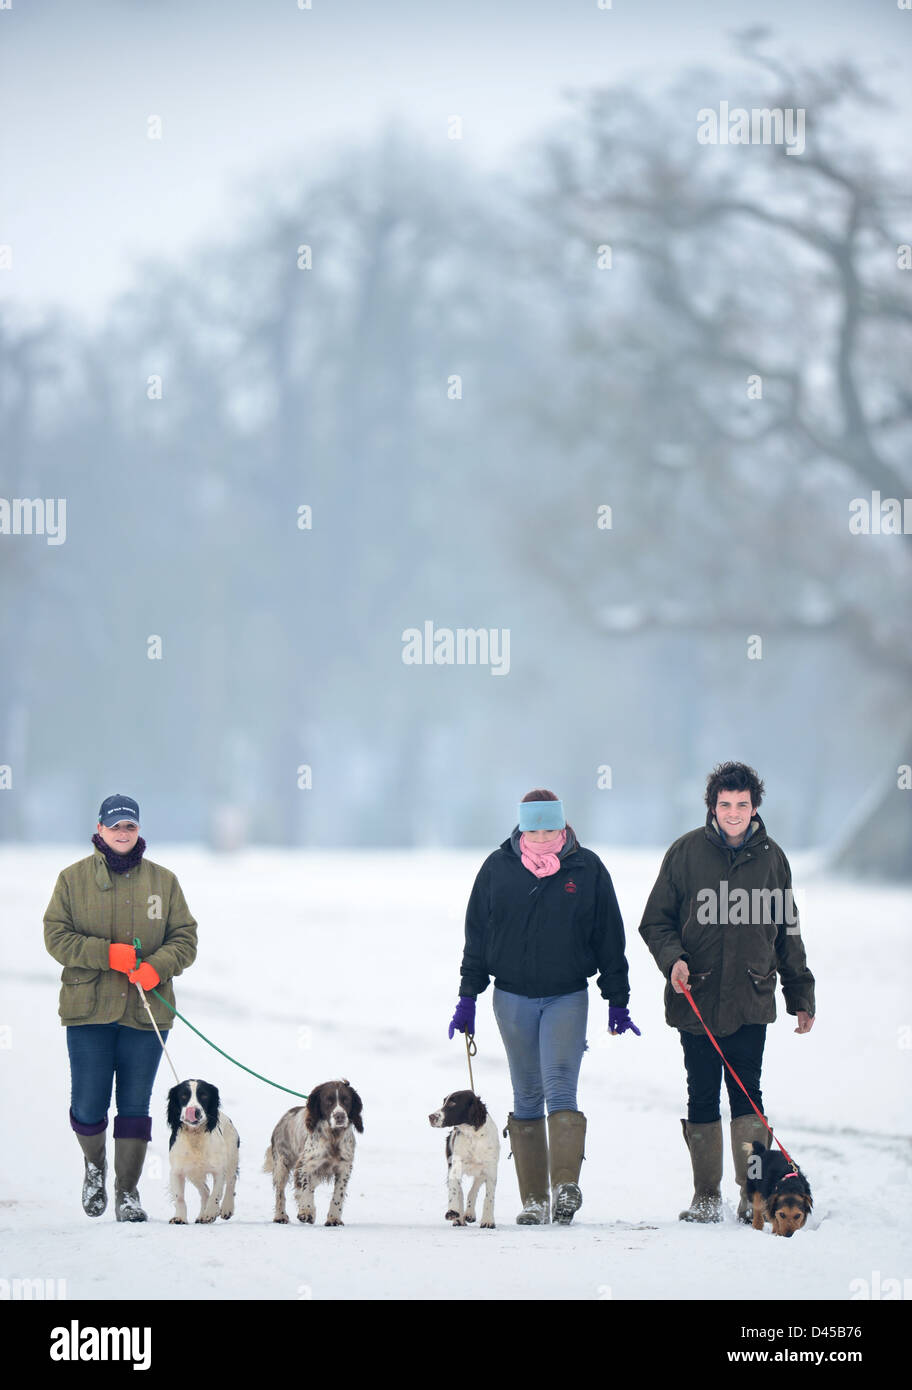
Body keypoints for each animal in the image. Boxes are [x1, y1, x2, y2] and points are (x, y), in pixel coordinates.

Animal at [166, 1078, 240, 1223]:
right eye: (183, 1096)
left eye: (204, 1095)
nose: (194, 1111)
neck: (195, 1136)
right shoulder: (177, 1170)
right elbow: (179, 1197)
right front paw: (180, 1217)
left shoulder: (219, 1170)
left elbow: (216, 1193)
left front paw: (210, 1213)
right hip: (194, 1173)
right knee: (205, 1190)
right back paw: (201, 1215)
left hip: (232, 1157)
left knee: (231, 1181)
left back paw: (226, 1208)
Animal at [264, 1078, 364, 1223]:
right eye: (328, 1101)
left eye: (346, 1100)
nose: (340, 1116)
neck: (333, 1136)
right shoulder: (305, 1165)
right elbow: (305, 1189)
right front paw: (306, 1211)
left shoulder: (344, 1168)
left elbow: (338, 1195)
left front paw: (333, 1218)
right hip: (281, 1164)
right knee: (280, 1193)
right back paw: (280, 1216)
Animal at [428, 1089, 497, 1234]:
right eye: (444, 1101)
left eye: (453, 1103)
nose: (430, 1117)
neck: (473, 1136)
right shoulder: (455, 1168)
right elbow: (455, 1191)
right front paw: (453, 1212)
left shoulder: (490, 1170)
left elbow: (489, 1197)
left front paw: (488, 1221)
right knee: (460, 1191)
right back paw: (459, 1219)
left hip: (481, 1172)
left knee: (473, 1190)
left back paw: (469, 1214)